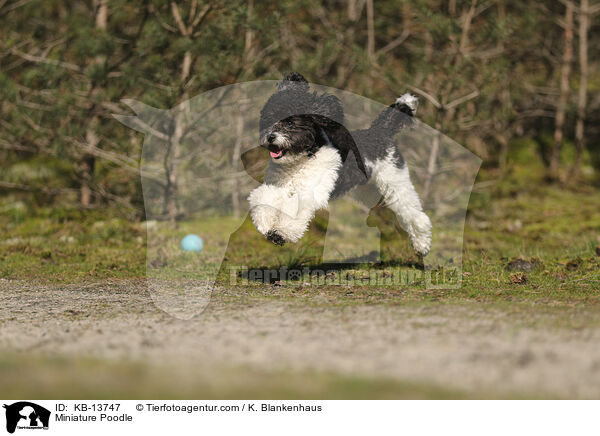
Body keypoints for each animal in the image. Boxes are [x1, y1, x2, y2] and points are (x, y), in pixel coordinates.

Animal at [247, 71, 432, 255]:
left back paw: (421, 245)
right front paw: (265, 223)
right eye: (268, 118)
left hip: (394, 182)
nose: (270, 137)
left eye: (291, 122)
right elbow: (262, 196)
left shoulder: (309, 193)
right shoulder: (281, 187)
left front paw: (280, 233)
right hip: (369, 189)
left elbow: (295, 211)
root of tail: (380, 131)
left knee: (415, 215)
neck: (302, 160)